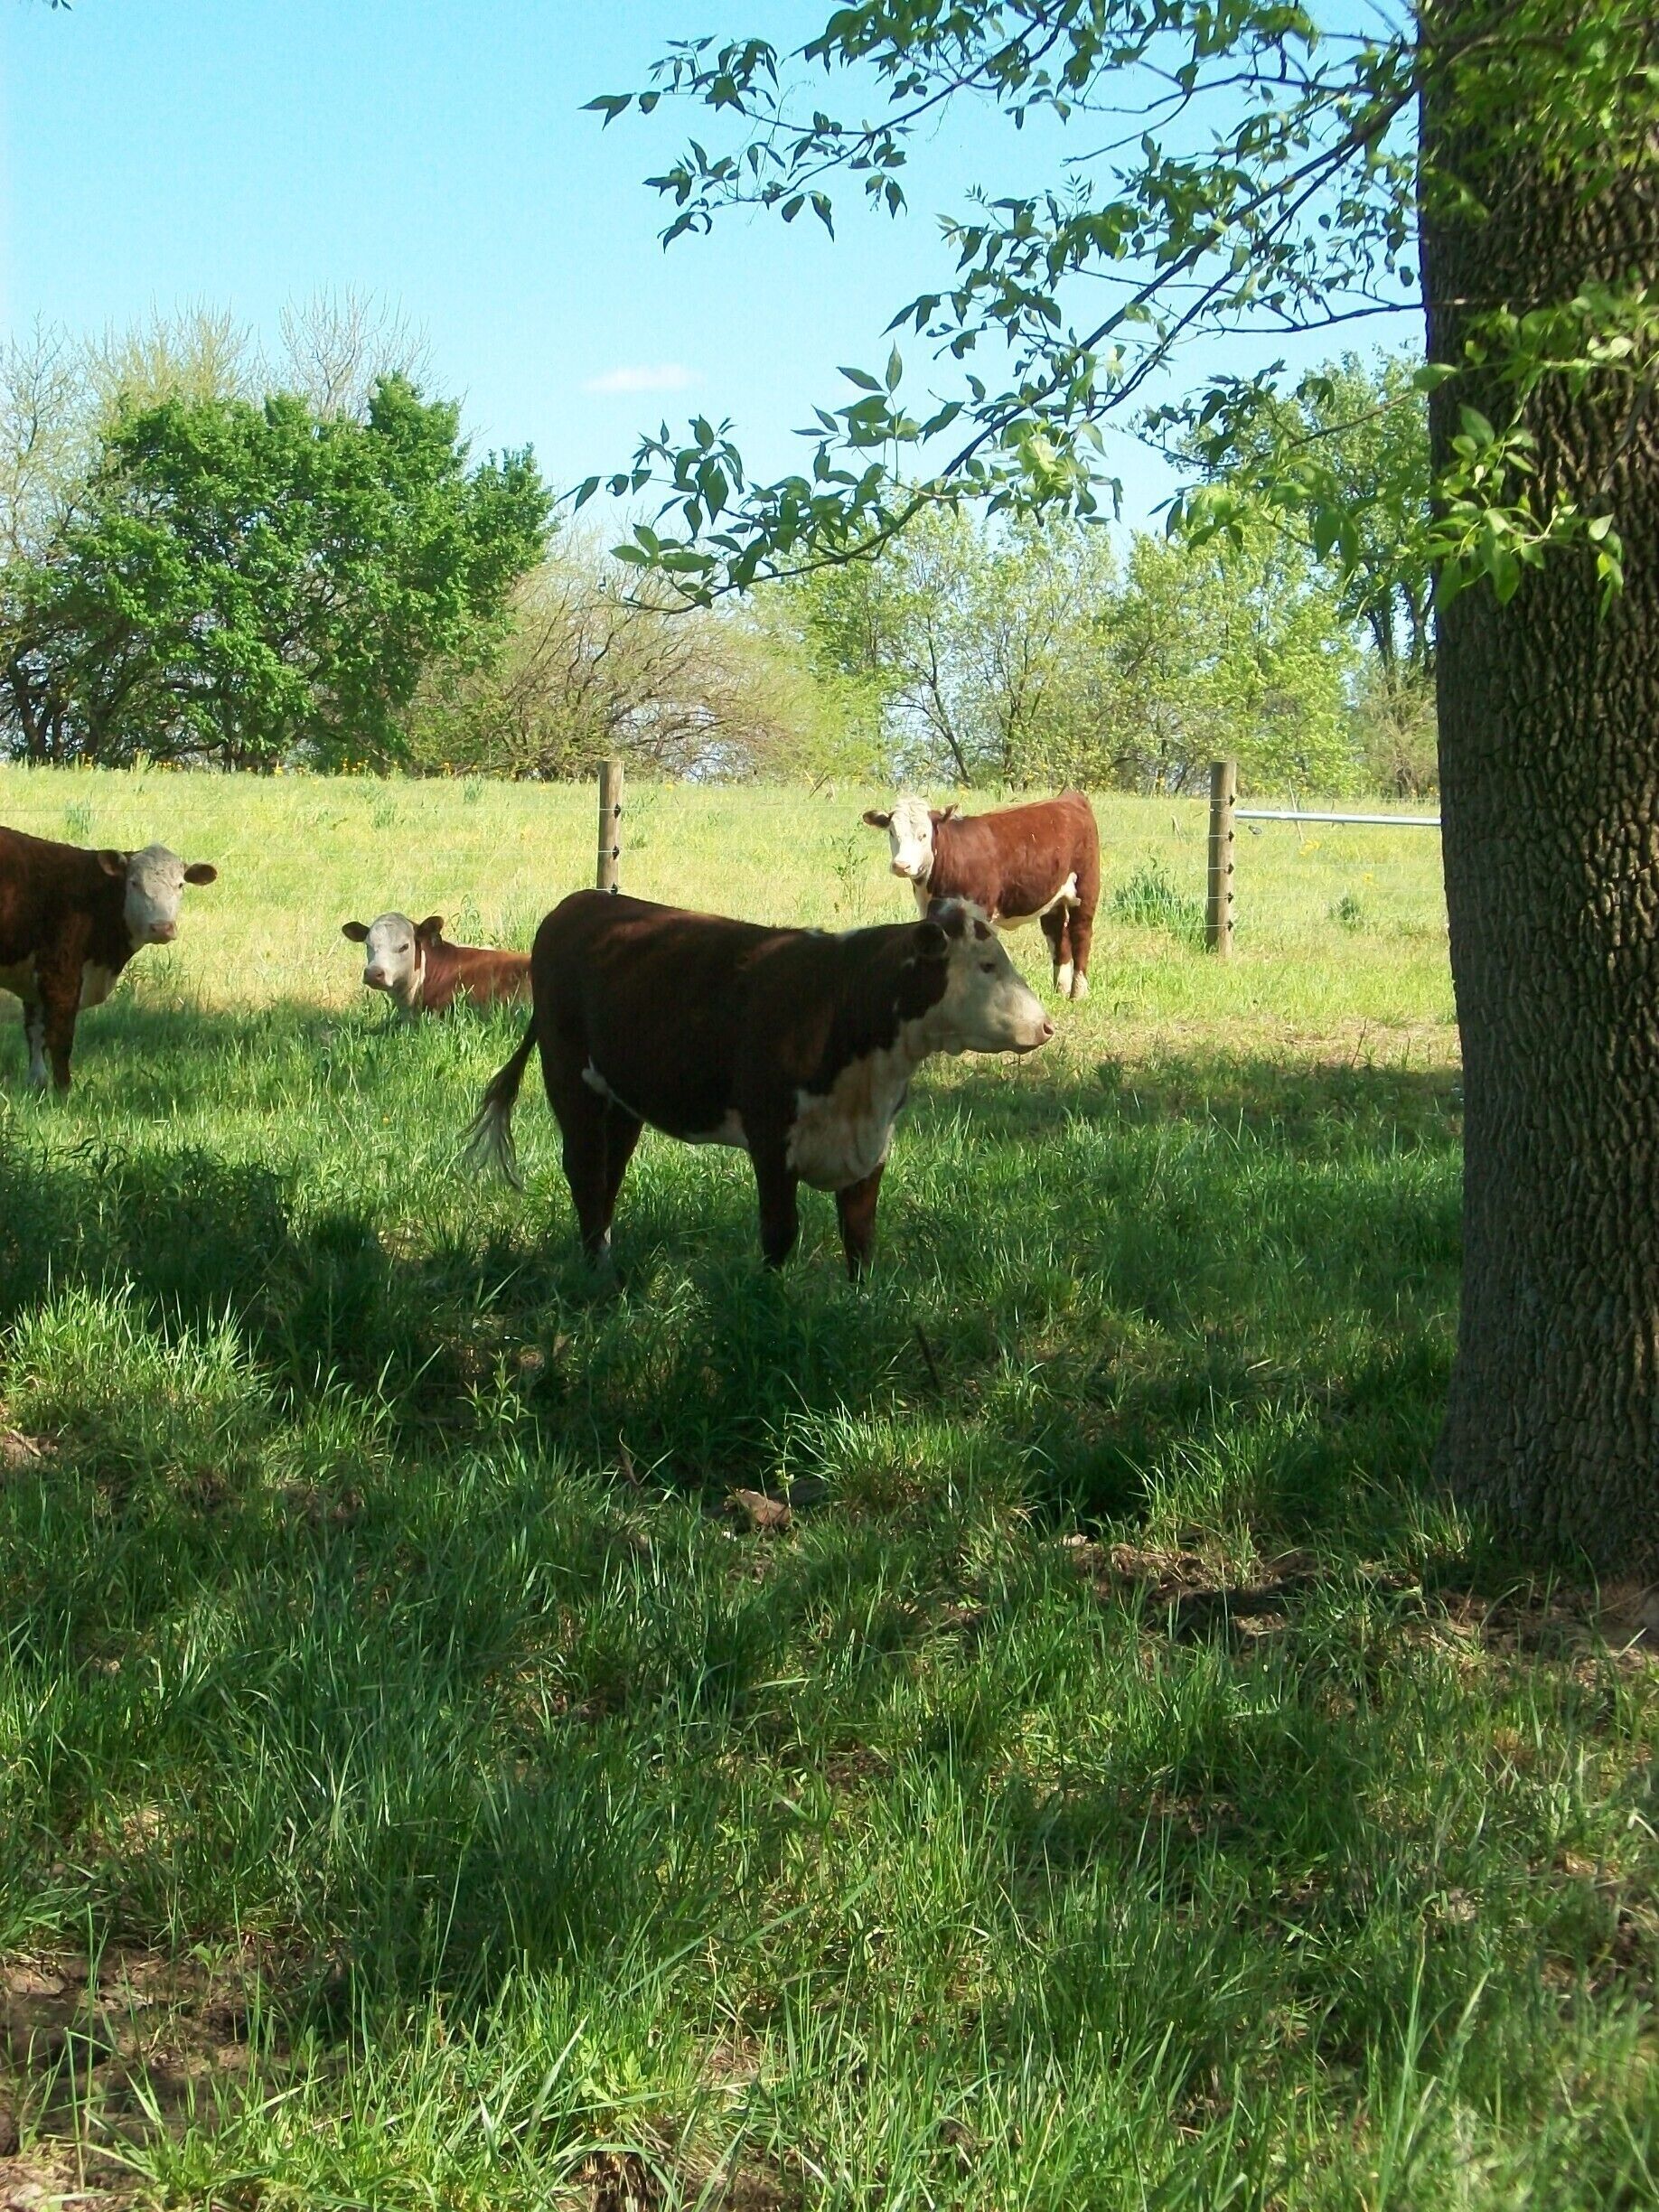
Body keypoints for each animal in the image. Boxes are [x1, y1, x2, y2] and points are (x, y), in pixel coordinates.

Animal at [0, 827, 218, 1092]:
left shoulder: (34, 979)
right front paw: (64, 1092)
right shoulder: (59, 974)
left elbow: (35, 1031)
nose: (161, 928)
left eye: (180, 885)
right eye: (134, 883)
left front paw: (37, 1083)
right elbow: (60, 1039)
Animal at [466, 888, 1052, 1278]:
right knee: (586, 1170)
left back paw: (605, 1259)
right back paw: (597, 1274)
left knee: (610, 1171)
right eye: (986, 965)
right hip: (570, 1077)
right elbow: (779, 1234)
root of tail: (581, 902)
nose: (1046, 1025)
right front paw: (768, 1304)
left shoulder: (871, 1144)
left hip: (623, 1098)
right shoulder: (772, 1138)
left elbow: (861, 1237)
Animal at [861, 789, 1100, 1000]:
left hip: (1086, 889)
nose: (901, 865)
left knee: (1081, 933)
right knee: (1058, 935)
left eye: (923, 835)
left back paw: (1078, 993)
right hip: (1053, 898)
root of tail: (1069, 797)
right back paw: (1060, 990)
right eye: (892, 832)